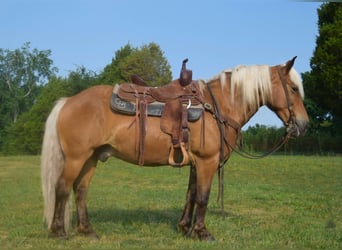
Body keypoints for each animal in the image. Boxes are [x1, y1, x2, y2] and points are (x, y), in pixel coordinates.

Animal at [41, 56, 308, 240]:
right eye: (294, 89)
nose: (303, 125)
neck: (218, 106)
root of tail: (68, 101)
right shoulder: (208, 162)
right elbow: (203, 197)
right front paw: (202, 232)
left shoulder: (196, 163)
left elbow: (191, 194)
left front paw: (184, 228)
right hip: (77, 157)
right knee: (62, 188)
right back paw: (59, 232)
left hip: (91, 158)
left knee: (81, 189)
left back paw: (87, 231)